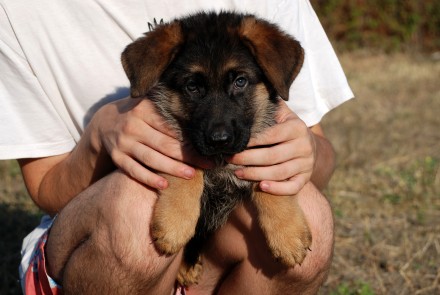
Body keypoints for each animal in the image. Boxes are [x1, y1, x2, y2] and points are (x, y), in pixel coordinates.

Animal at [122, 11, 312, 286]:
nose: (219, 140)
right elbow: (188, 169)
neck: (222, 161)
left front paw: (288, 234)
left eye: (240, 81)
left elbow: (272, 184)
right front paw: (174, 221)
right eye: (192, 86)